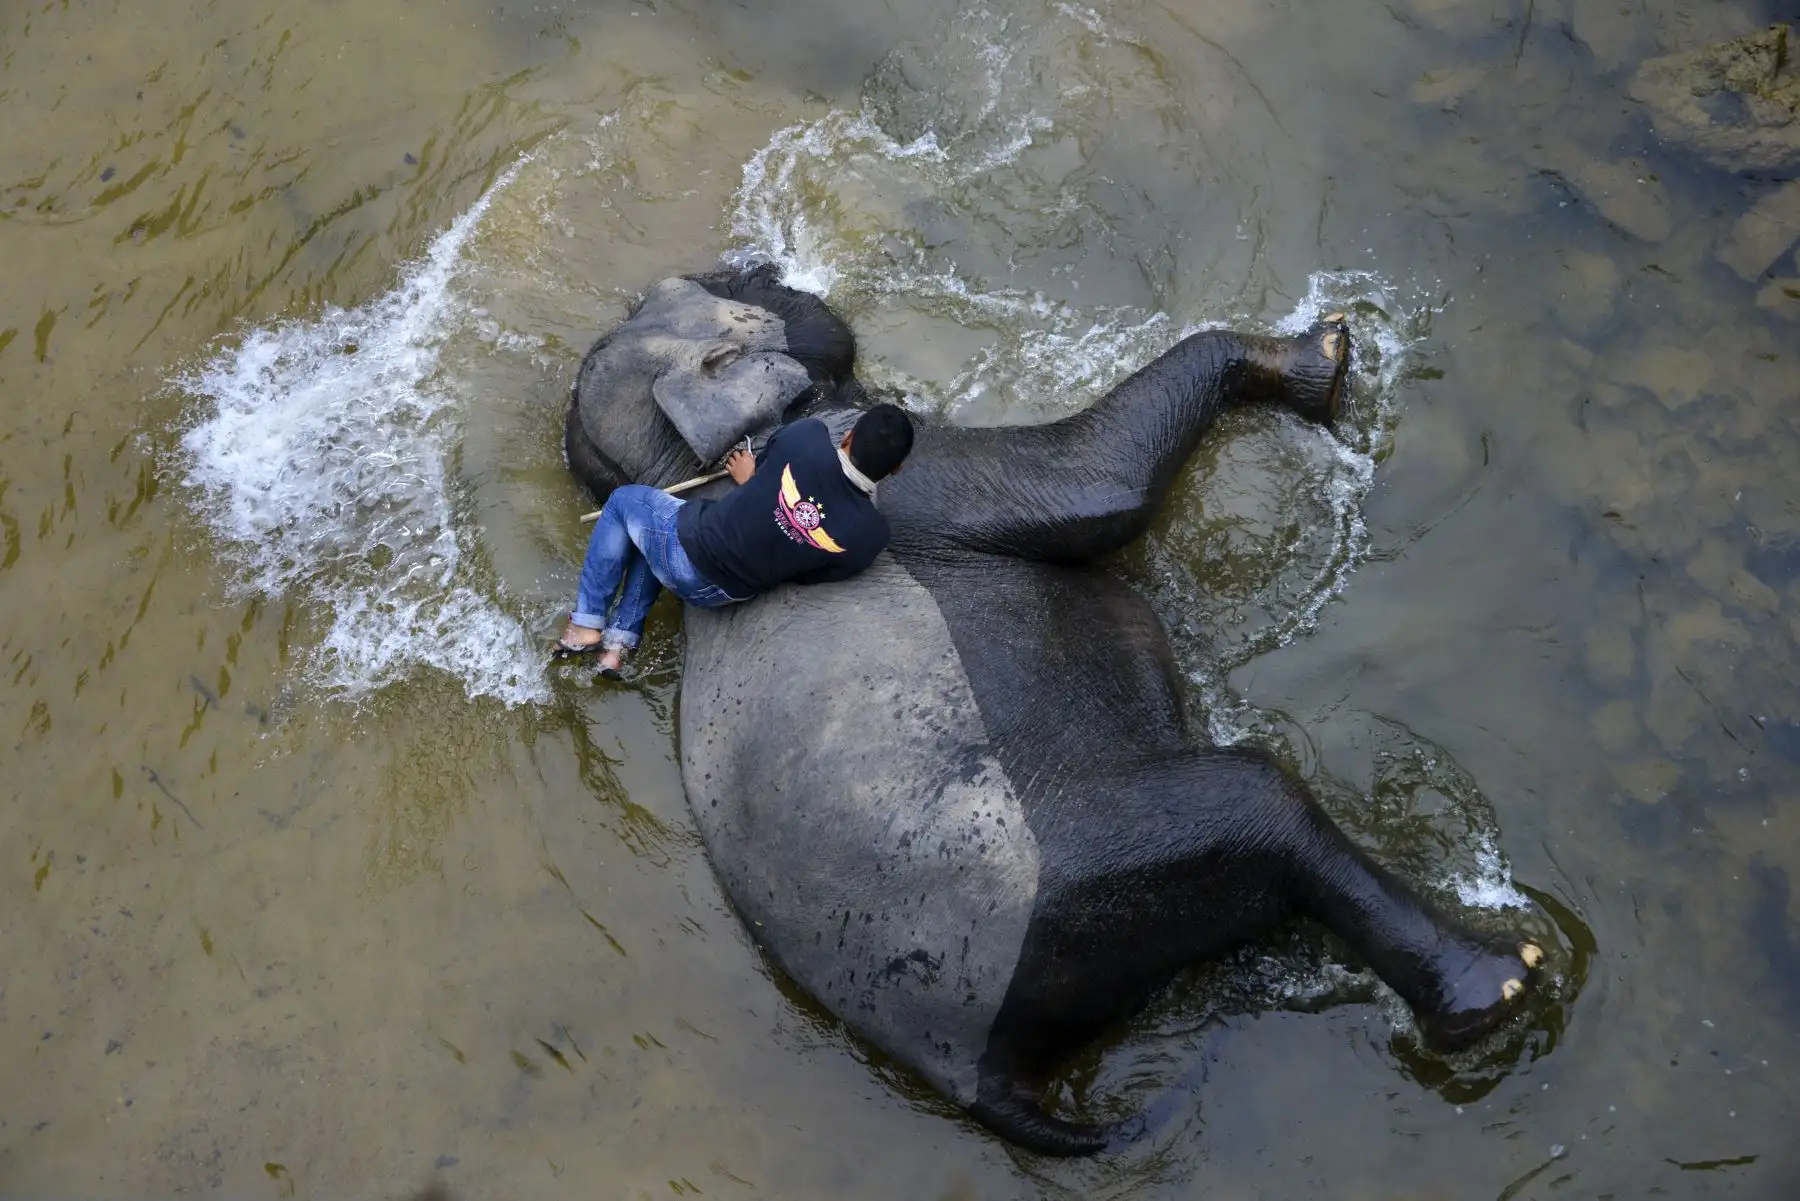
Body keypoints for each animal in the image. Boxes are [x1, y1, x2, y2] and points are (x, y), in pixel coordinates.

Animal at [562, 264, 1545, 1156]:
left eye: (691, 286)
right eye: (736, 290)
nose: (765, 263)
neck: (695, 471)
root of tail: (980, 1080)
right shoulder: (905, 474)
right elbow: (1102, 487)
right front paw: (1329, 350)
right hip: (1092, 874)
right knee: (1257, 799)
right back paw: (1502, 983)